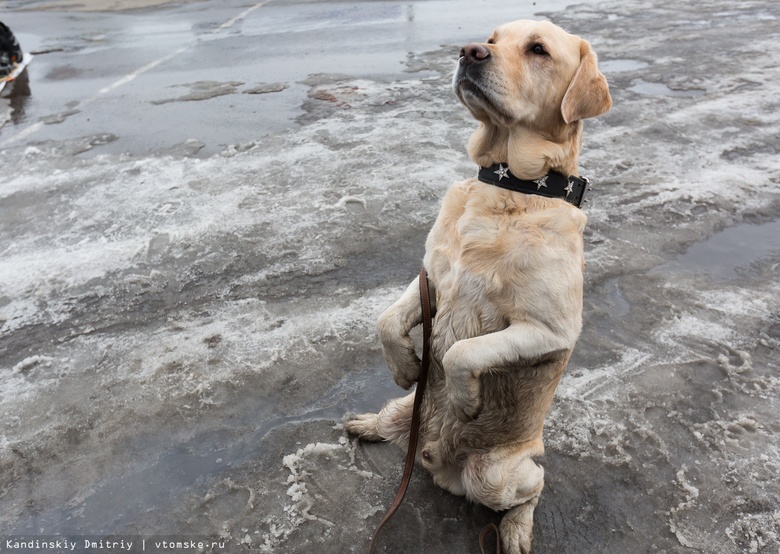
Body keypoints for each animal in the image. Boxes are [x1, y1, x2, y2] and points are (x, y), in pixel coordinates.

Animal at [346, 19, 608, 548]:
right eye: (492, 38)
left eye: (538, 49)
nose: (469, 52)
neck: (508, 188)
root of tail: (434, 462)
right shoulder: (432, 276)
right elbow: (386, 319)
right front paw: (406, 365)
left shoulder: (549, 329)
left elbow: (461, 352)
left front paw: (466, 399)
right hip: (405, 411)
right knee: (389, 419)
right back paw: (367, 425)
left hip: (496, 475)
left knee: (532, 489)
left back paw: (515, 531)